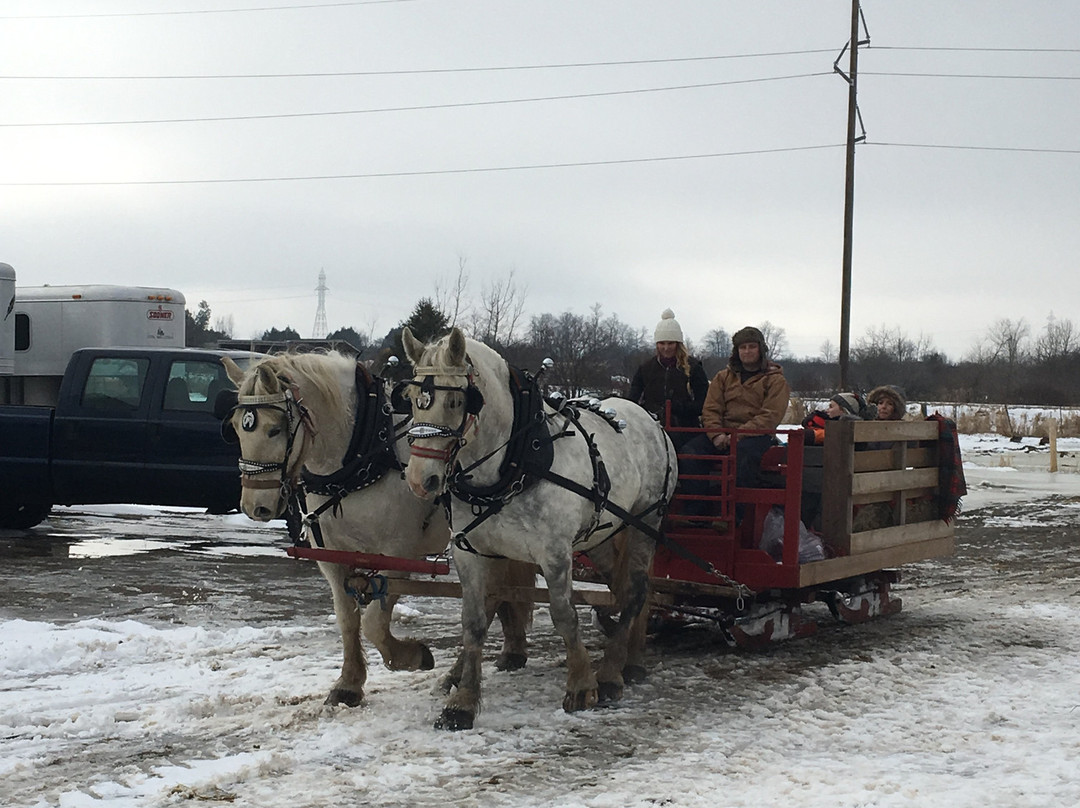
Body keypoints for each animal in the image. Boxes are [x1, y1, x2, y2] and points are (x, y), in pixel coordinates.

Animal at [223, 354, 535, 708]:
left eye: (274, 430)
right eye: (236, 428)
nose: (255, 506)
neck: (363, 456)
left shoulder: (400, 553)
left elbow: (374, 621)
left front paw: (413, 656)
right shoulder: (331, 555)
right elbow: (347, 618)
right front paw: (348, 684)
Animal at [401, 324, 678, 730]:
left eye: (455, 402)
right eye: (409, 399)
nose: (422, 480)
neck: (513, 462)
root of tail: (653, 420)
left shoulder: (555, 552)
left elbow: (564, 615)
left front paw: (581, 685)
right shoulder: (472, 552)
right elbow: (474, 622)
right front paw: (462, 702)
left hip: (645, 521)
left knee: (636, 590)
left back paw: (612, 673)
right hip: (600, 534)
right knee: (622, 588)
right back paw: (628, 660)